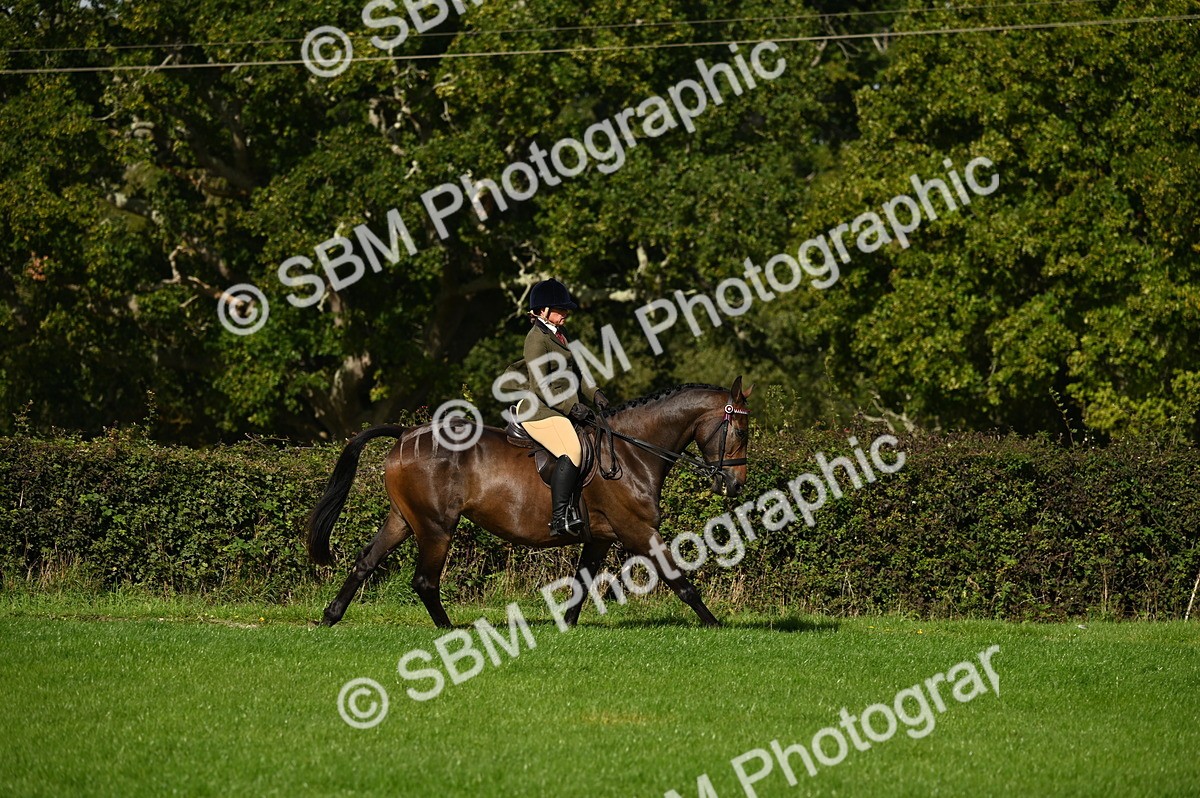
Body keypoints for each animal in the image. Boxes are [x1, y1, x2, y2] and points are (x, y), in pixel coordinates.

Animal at [306, 377, 752, 628]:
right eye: (741, 432)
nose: (734, 485)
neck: (631, 451)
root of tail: (405, 434)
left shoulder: (600, 537)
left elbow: (582, 583)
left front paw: (567, 627)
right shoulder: (638, 531)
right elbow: (681, 581)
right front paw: (715, 626)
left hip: (403, 519)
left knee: (366, 562)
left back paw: (330, 617)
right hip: (436, 527)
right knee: (424, 581)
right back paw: (450, 630)